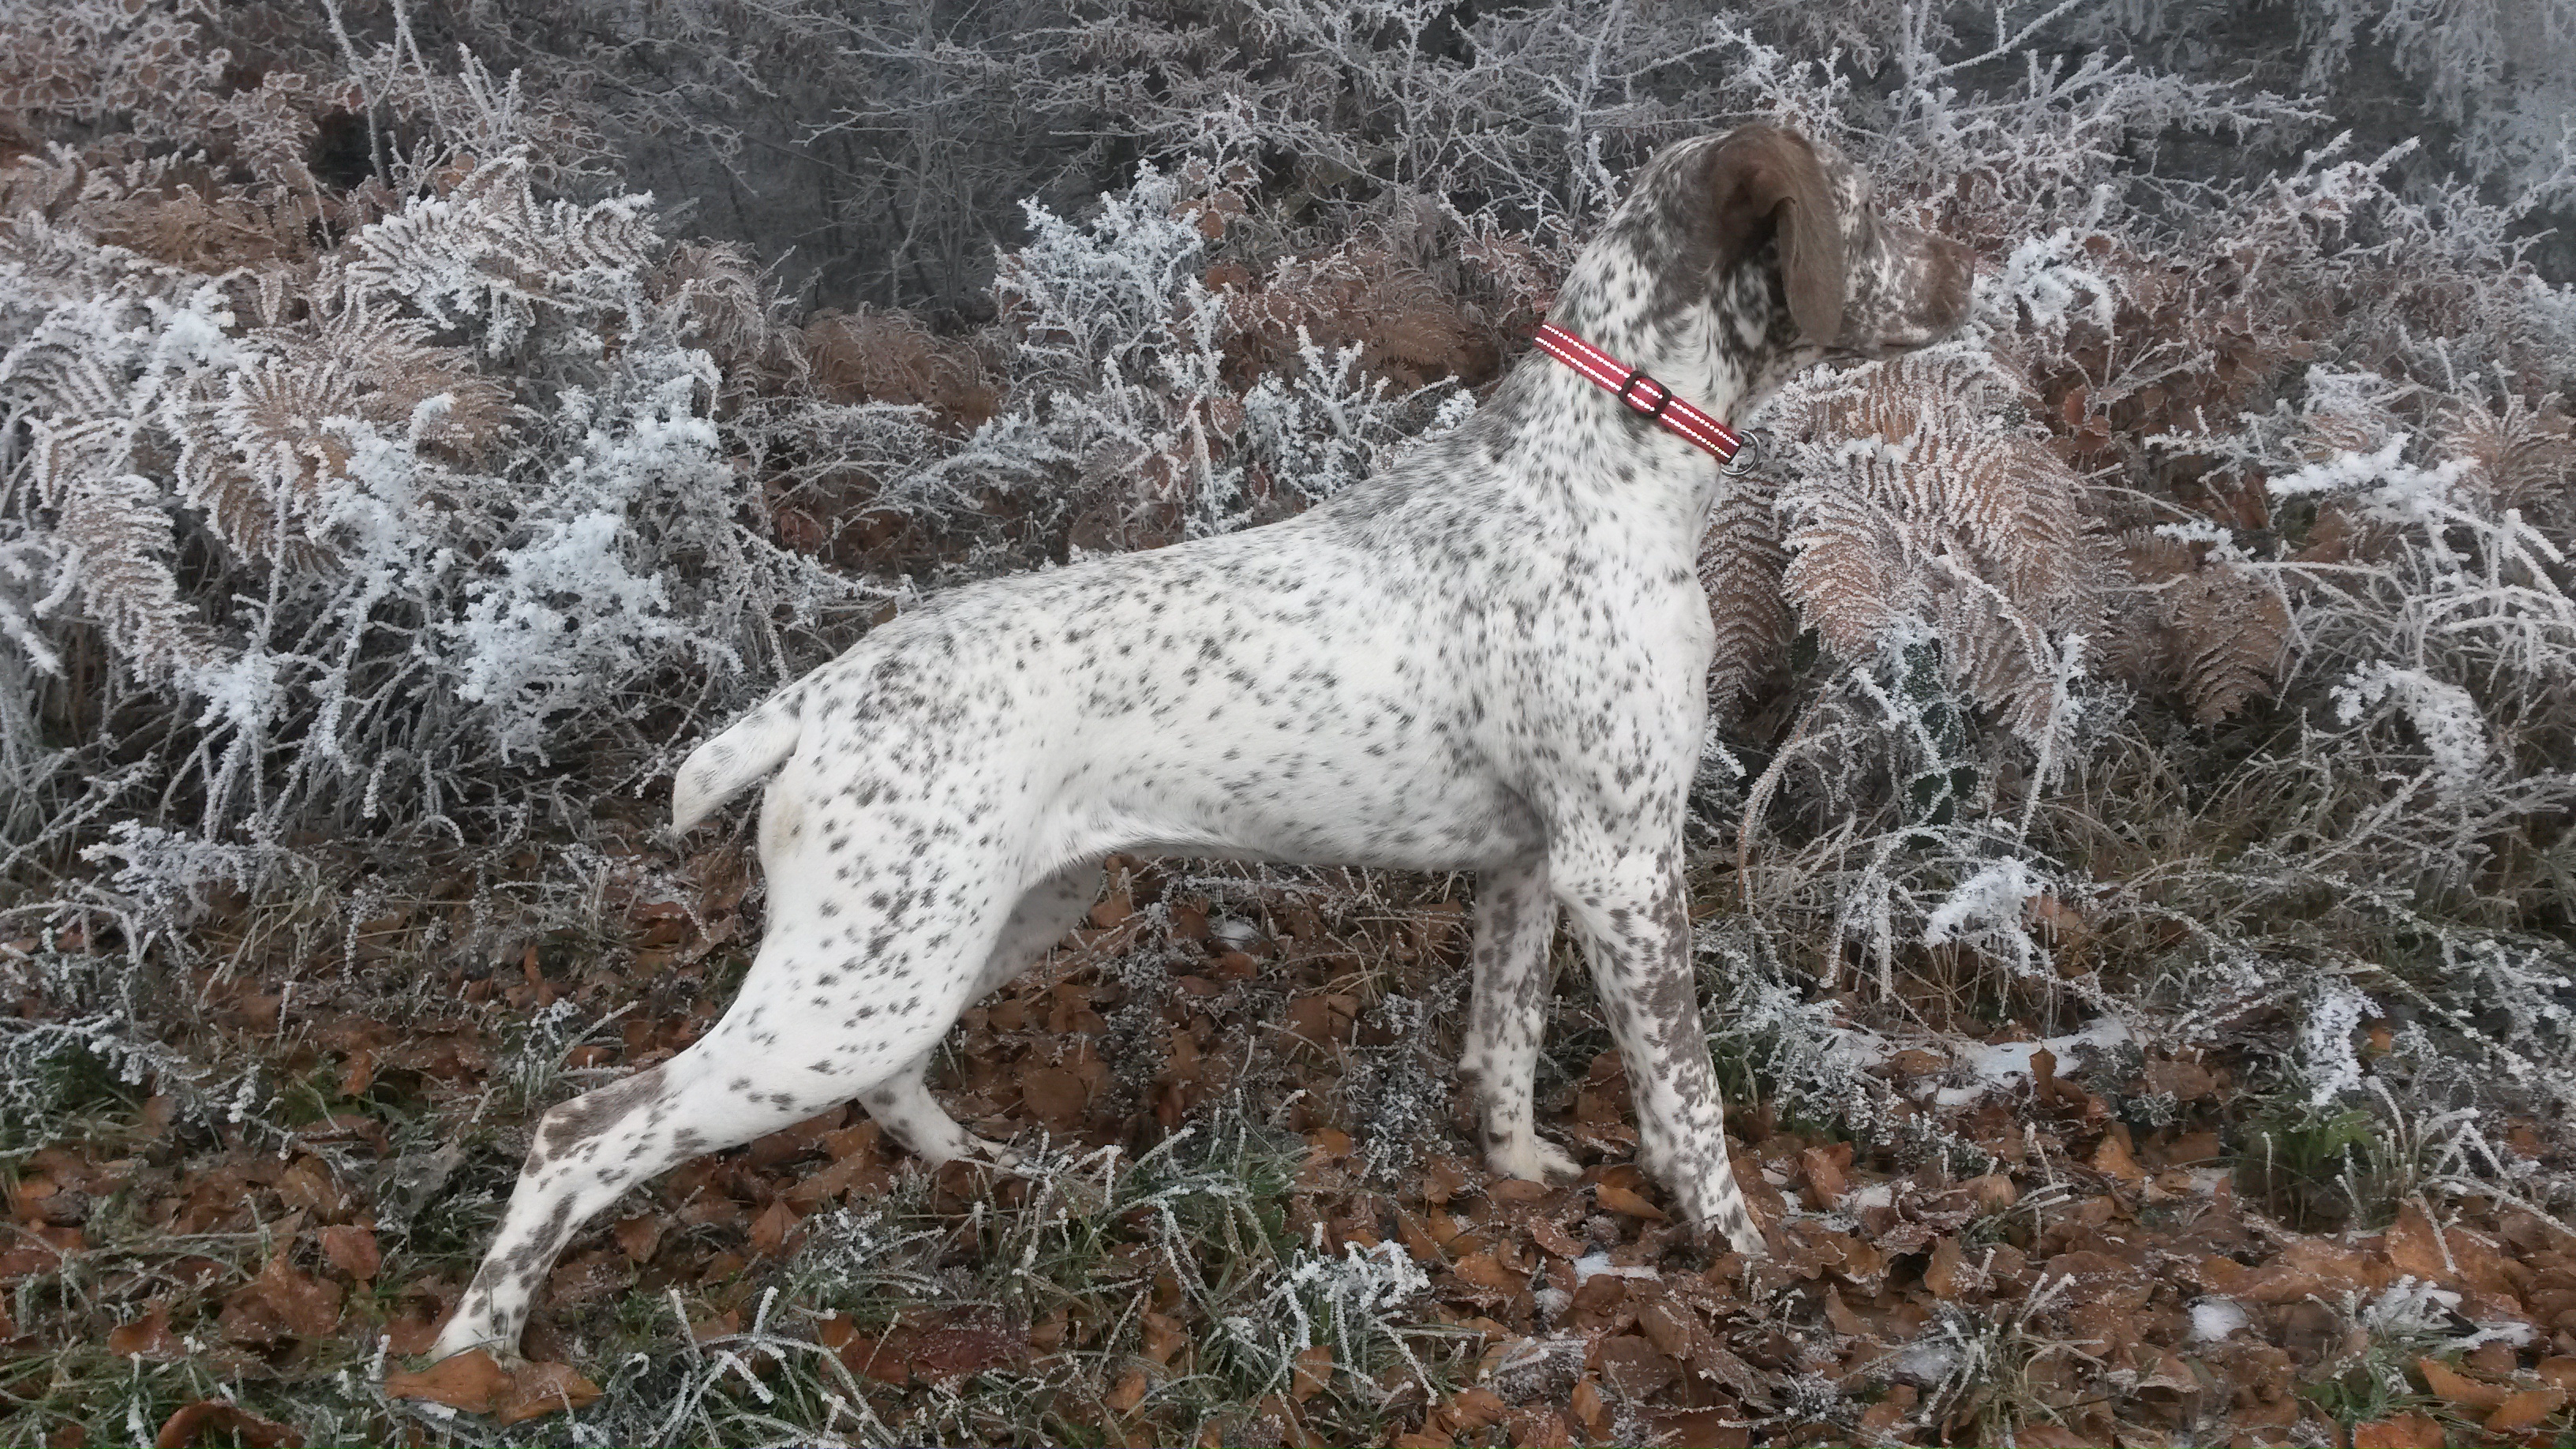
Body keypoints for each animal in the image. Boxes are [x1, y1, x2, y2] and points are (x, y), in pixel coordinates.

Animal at [437, 121, 1968, 1350]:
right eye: (1871, 211)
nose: (1971, 273)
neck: (1599, 468)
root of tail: (830, 691)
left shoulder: (1533, 867)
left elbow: (1507, 1045)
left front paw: (1522, 1174)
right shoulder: (1626, 865)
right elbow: (1688, 1104)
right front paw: (1744, 1254)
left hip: (971, 930)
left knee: (879, 1089)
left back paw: (980, 1166)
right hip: (863, 976)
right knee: (582, 1130)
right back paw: (476, 1353)